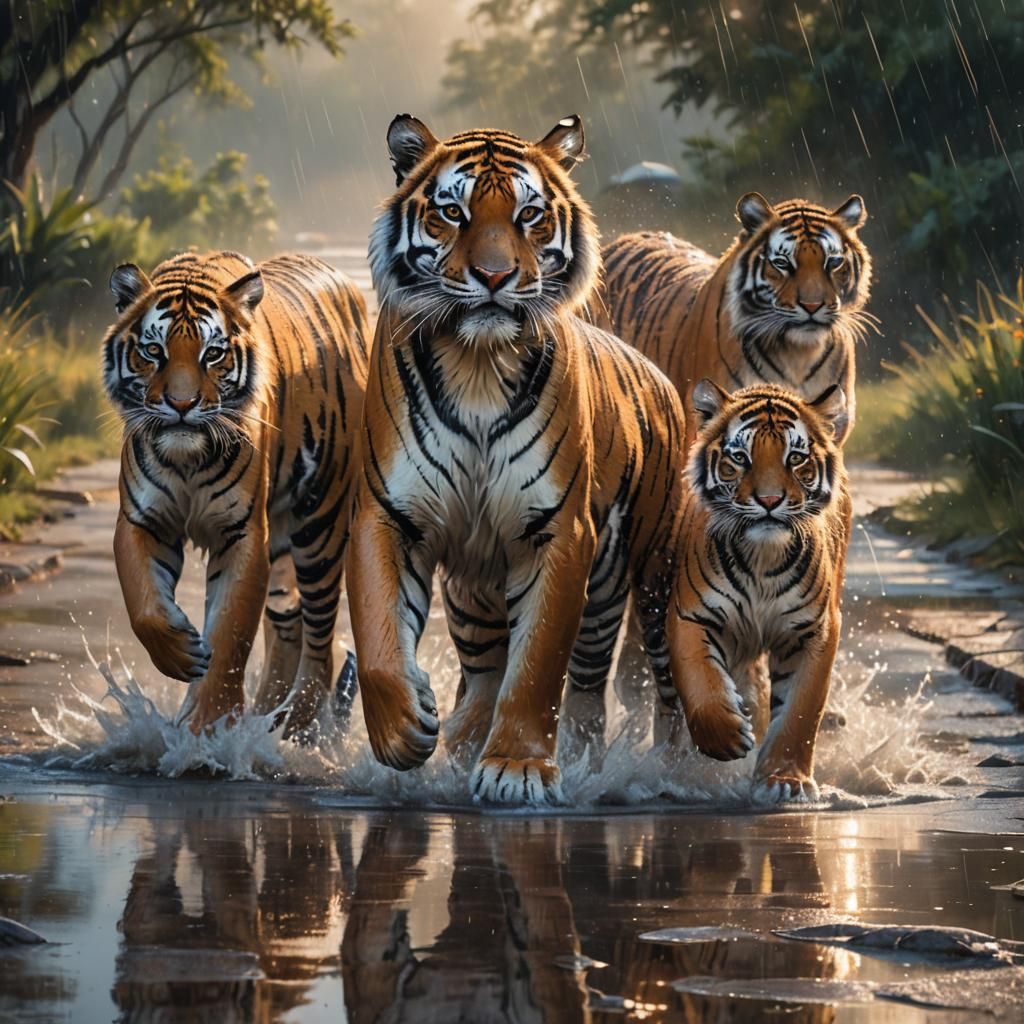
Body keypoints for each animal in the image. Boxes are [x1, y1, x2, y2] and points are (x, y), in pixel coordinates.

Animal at [103, 250, 369, 735]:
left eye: (213, 354)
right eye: (154, 351)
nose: (182, 405)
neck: (187, 459)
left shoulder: (242, 531)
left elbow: (232, 632)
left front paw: (207, 729)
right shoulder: (143, 520)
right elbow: (144, 604)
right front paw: (182, 653)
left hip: (319, 525)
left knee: (321, 636)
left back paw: (297, 723)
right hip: (283, 552)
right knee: (290, 626)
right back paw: (266, 718)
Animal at [347, 114, 687, 805]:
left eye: (529, 214)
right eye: (452, 212)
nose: (494, 277)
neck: (477, 364)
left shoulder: (559, 533)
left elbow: (537, 668)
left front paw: (519, 770)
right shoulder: (389, 515)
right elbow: (377, 639)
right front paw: (405, 730)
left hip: (646, 580)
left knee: (615, 688)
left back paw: (655, 769)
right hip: (473, 593)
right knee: (485, 671)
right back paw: (459, 734)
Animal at [666, 379, 852, 803]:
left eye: (796, 458)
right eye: (740, 457)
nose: (769, 501)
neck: (762, 560)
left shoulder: (815, 630)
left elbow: (801, 711)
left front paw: (785, 781)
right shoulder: (690, 614)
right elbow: (699, 683)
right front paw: (728, 738)